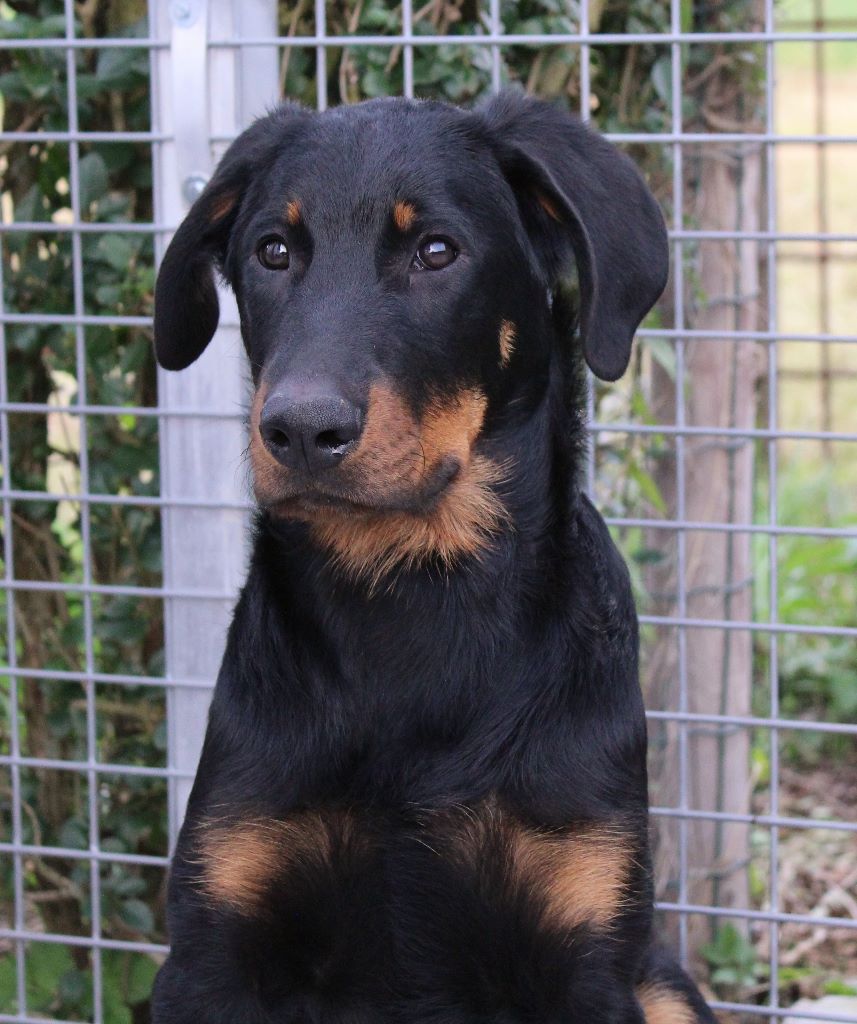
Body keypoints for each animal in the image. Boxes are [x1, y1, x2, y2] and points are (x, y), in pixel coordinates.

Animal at [148, 90, 716, 1024]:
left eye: (436, 252)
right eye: (272, 251)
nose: (300, 429)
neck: (411, 589)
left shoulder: (586, 945)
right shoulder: (213, 942)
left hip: (660, 984)